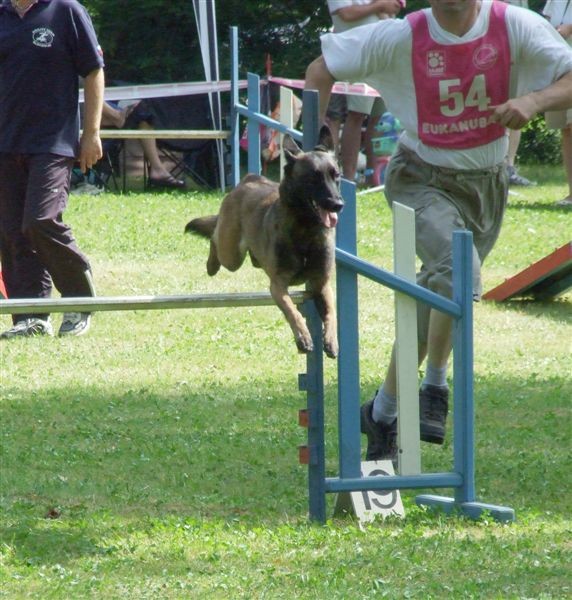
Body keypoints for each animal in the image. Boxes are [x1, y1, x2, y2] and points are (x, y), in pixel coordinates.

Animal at [185, 125, 342, 356]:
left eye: (336, 176)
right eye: (314, 178)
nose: (338, 204)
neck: (305, 230)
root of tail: (249, 179)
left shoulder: (321, 285)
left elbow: (331, 314)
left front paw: (331, 339)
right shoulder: (278, 285)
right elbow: (292, 311)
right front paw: (303, 337)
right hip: (231, 255)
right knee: (215, 238)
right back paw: (211, 264)